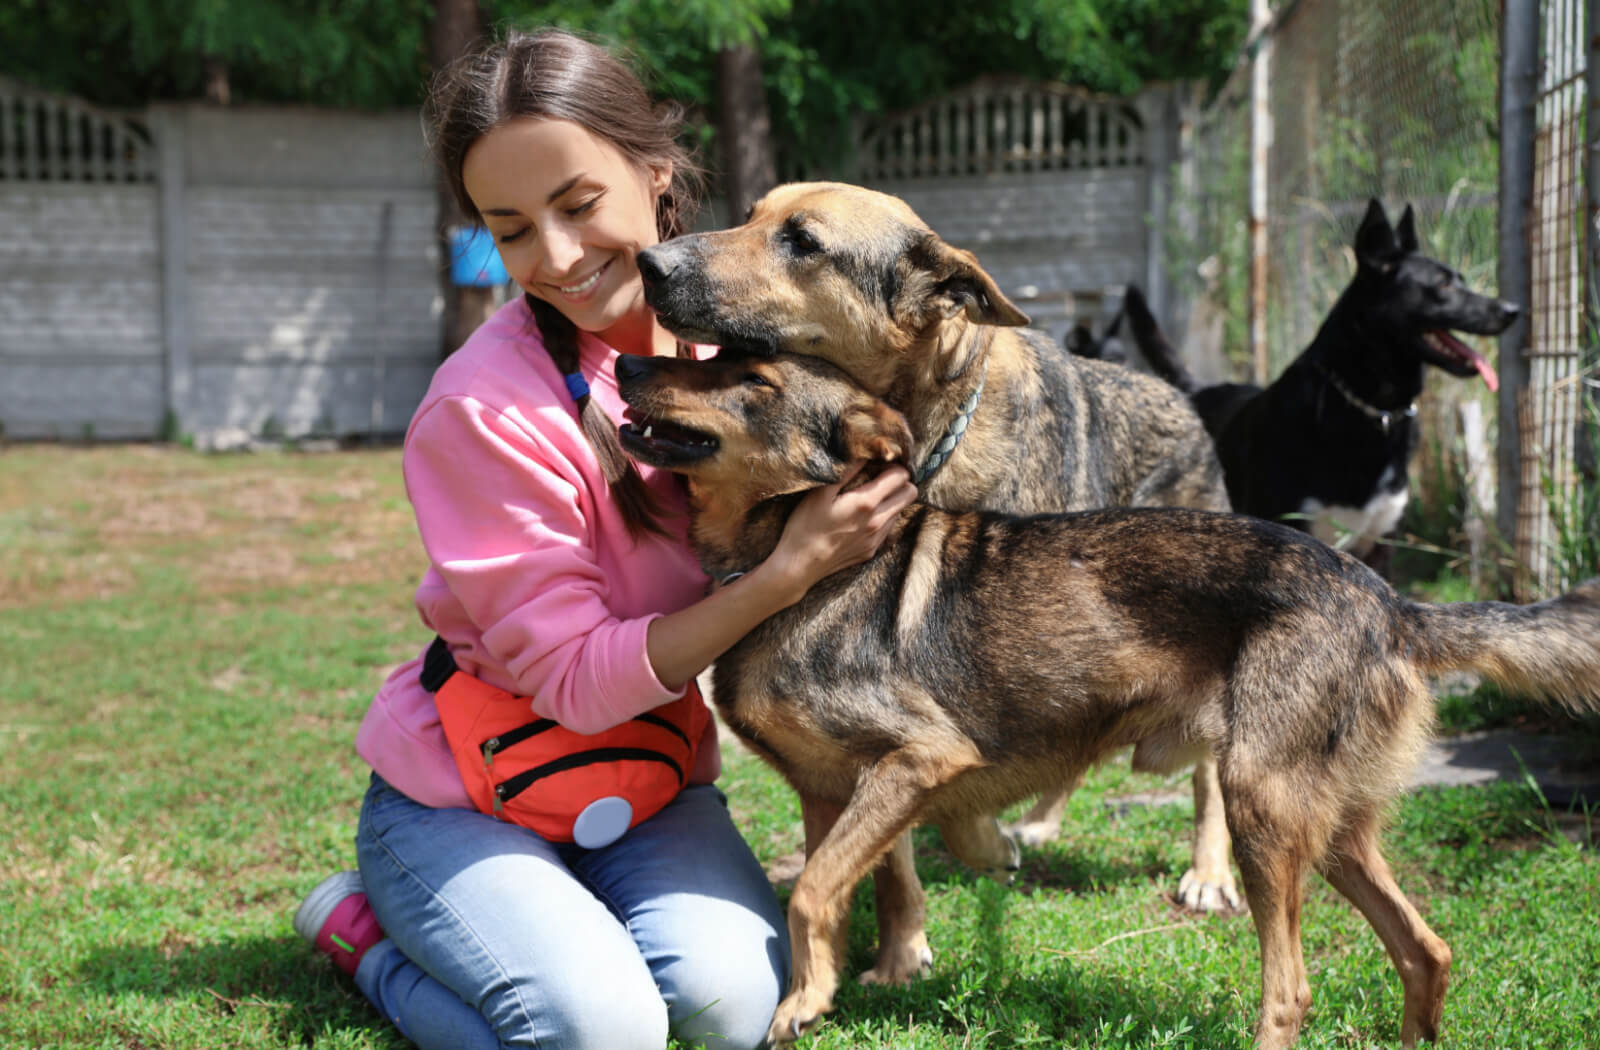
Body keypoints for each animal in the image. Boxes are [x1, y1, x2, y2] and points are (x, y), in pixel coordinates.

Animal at [611, 348, 1600, 1043]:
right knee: (1426, 951)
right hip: (1332, 834)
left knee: (1293, 990)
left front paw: (803, 1003)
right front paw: (837, 981)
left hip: (1259, 809)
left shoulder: (925, 755)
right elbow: (851, 885)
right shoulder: (833, 792)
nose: (624, 364)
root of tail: (1389, 602)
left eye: (751, 379)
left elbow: (813, 894)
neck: (795, 564)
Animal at [633, 182, 1235, 985]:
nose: (650, 262)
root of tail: (1178, 396)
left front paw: (973, 842)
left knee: (1205, 773)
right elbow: (892, 855)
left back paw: (1209, 870)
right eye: (753, 213)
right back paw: (1038, 821)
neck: (922, 443)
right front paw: (902, 946)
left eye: (802, 241)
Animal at [1132, 200, 1516, 569]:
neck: (1370, 410)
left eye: (1461, 279)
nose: (1512, 309)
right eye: (1443, 285)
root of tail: (1195, 389)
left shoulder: (1381, 545)